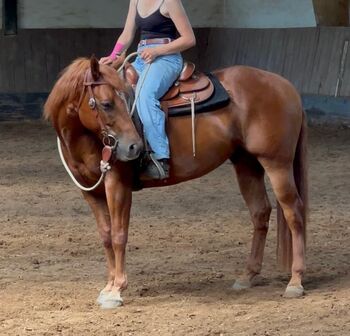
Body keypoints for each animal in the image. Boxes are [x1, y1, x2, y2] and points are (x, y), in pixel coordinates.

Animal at [43, 55, 306, 310]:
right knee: (260, 212)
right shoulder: (91, 192)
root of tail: (286, 86)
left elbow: (119, 235)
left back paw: (295, 281)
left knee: (294, 213)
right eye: (107, 104)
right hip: (246, 165)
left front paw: (117, 289)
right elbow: (106, 236)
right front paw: (108, 287)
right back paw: (247, 276)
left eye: (122, 100)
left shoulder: (117, 185)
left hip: (277, 163)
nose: (134, 147)